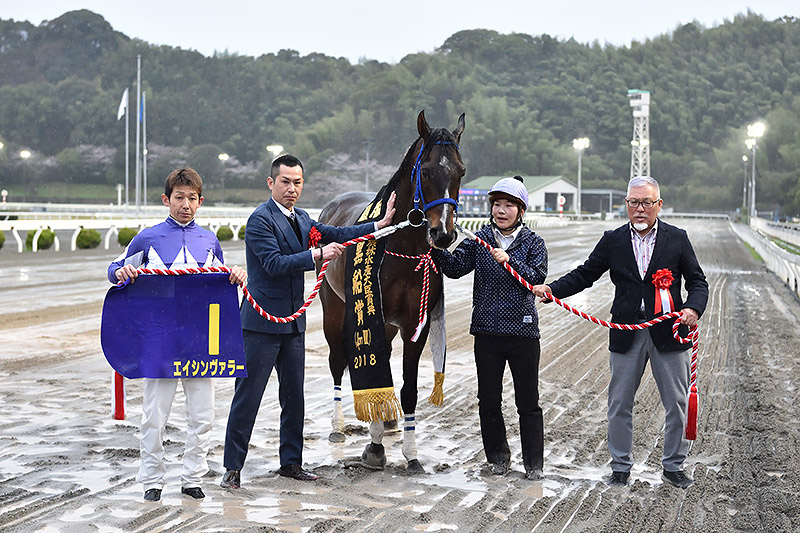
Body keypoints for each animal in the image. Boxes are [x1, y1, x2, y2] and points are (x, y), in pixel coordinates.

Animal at [318, 110, 466, 472]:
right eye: (426, 171)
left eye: (460, 171)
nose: (443, 234)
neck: (403, 248)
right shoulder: (377, 316)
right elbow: (373, 366)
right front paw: (374, 447)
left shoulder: (416, 323)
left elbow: (410, 387)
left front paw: (411, 453)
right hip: (334, 307)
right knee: (337, 360)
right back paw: (338, 426)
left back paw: (389, 422)